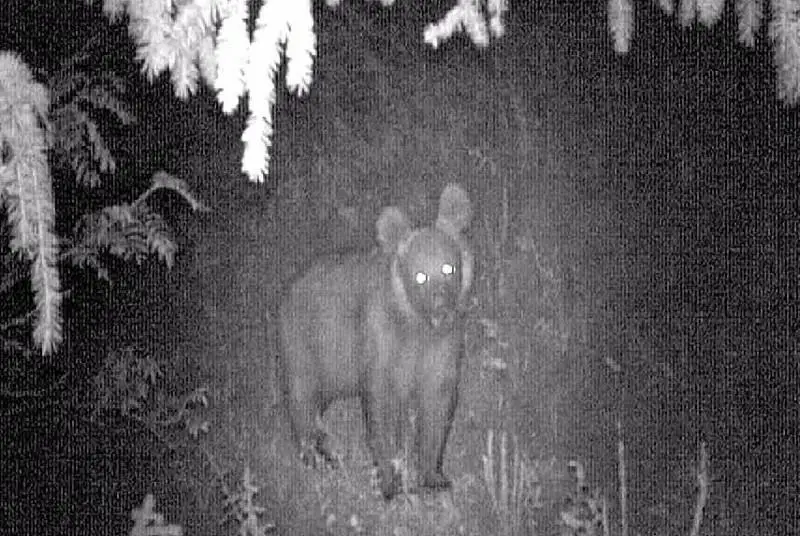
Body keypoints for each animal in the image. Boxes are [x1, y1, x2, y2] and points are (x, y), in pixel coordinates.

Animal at [278, 183, 473, 499]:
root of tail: (291, 286)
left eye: (448, 268)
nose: (441, 310)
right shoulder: (380, 345)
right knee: (301, 398)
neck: (416, 328)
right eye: (419, 275)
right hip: (303, 343)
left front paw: (434, 477)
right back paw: (318, 457)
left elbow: (437, 409)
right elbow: (381, 411)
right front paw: (390, 481)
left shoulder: (443, 351)